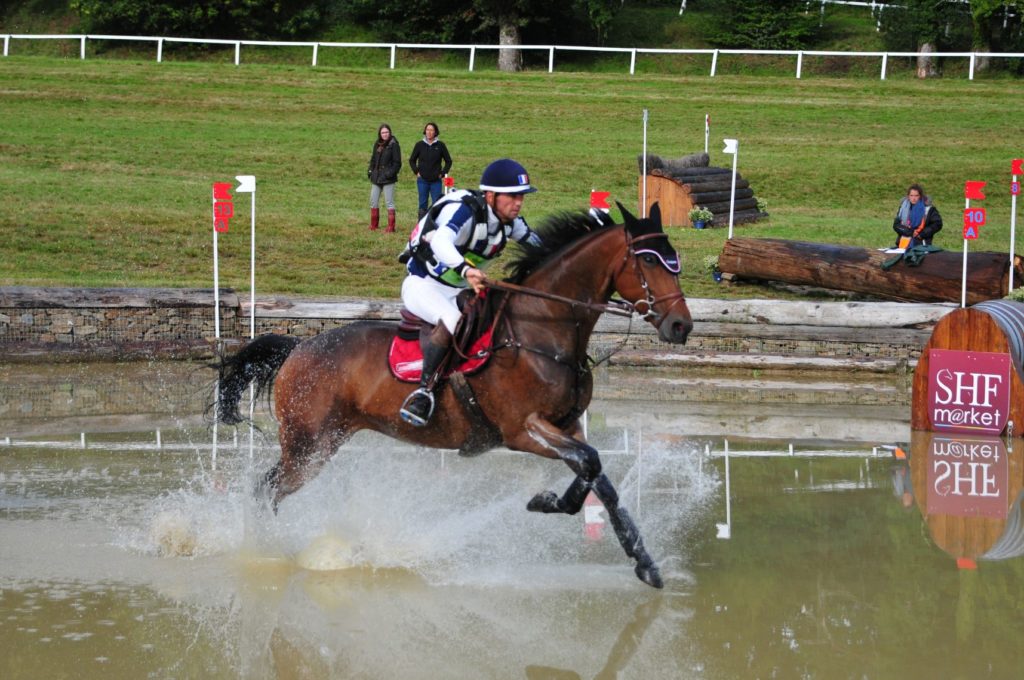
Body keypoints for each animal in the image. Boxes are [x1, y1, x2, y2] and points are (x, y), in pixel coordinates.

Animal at [216, 202, 696, 589]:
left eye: (675, 261)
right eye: (648, 261)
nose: (681, 326)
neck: (543, 330)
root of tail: (299, 347)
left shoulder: (567, 426)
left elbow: (597, 478)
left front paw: (642, 562)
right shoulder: (523, 430)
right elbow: (590, 464)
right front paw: (549, 502)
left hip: (321, 442)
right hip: (309, 447)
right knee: (265, 490)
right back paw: (266, 551)